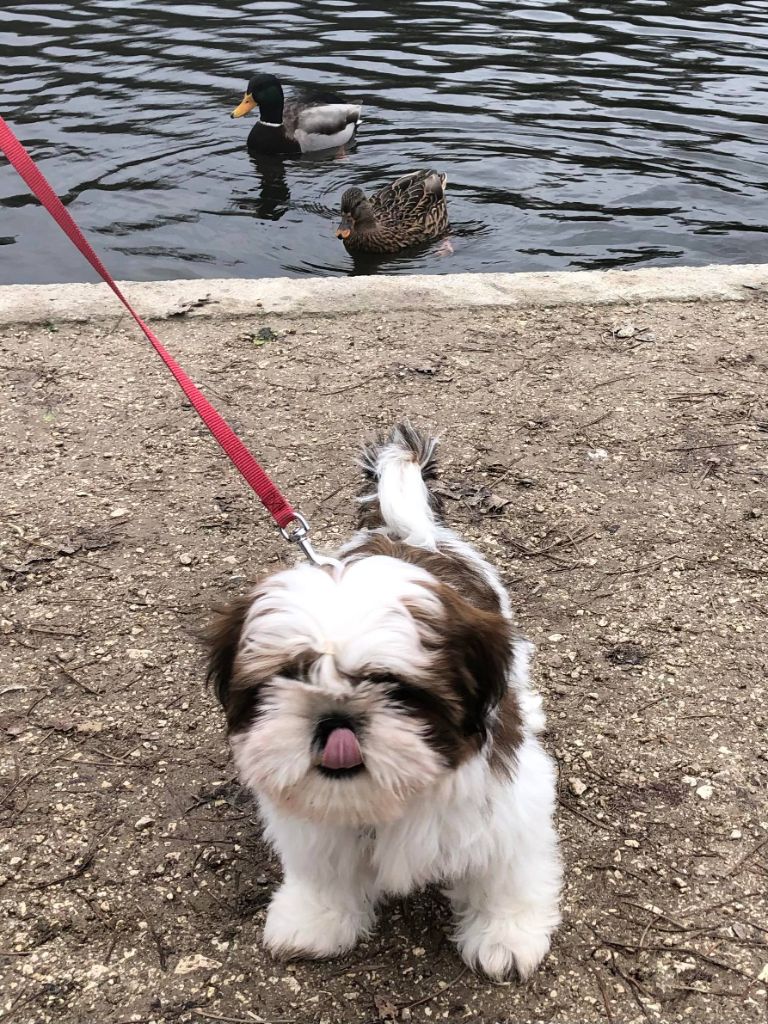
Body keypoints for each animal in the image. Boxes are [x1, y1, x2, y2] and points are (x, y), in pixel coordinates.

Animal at [207, 425, 561, 983]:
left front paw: (506, 932)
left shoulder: (506, 804)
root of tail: (405, 532)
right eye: (287, 677)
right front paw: (315, 918)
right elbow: (323, 870)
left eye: (394, 687)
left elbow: (505, 869)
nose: (335, 718)